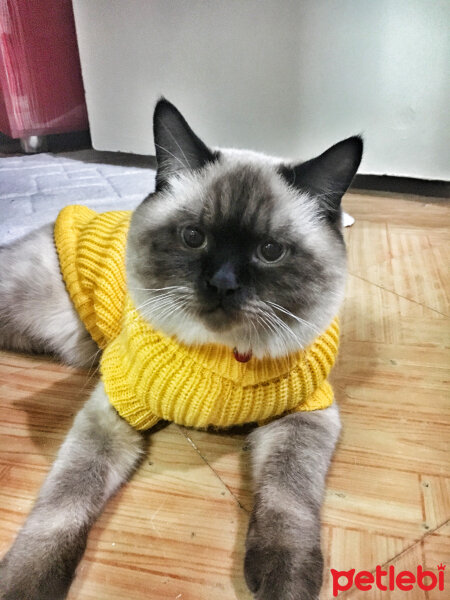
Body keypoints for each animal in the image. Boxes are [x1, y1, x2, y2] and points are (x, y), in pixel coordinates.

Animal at [0, 99, 362, 600]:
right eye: (194, 237)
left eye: (270, 251)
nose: (223, 284)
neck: (224, 352)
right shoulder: (112, 411)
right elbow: (62, 507)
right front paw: (25, 584)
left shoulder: (304, 416)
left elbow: (289, 501)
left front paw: (283, 581)